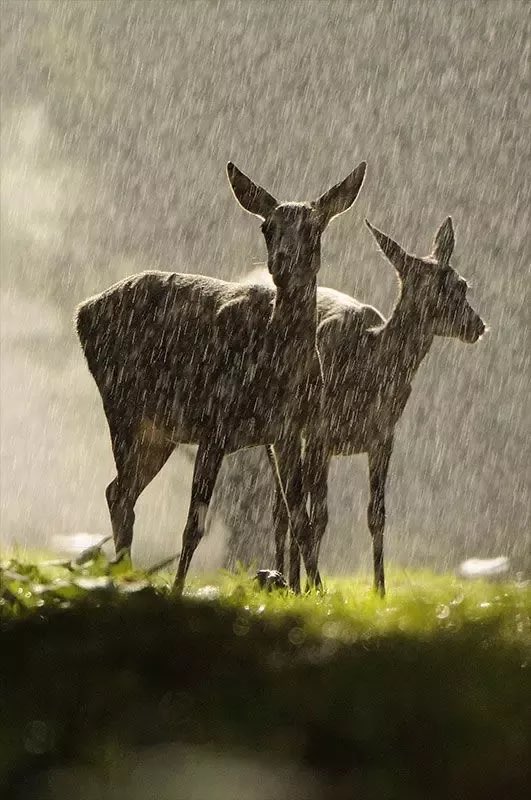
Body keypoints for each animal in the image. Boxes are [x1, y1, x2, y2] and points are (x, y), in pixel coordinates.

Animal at [76, 159, 366, 592]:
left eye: (314, 227)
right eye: (267, 228)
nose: (282, 261)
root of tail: (82, 310)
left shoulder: (289, 431)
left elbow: (301, 519)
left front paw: (319, 592)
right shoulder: (214, 423)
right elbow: (193, 525)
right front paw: (178, 589)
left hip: (159, 431)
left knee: (117, 491)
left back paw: (125, 570)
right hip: (122, 405)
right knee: (124, 494)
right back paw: (126, 574)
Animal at [268, 217, 488, 592]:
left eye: (462, 283)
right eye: (443, 287)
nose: (477, 325)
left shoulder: (383, 435)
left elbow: (376, 514)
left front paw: (380, 589)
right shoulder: (320, 432)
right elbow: (318, 516)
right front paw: (312, 588)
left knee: (292, 506)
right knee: (284, 509)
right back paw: (288, 579)